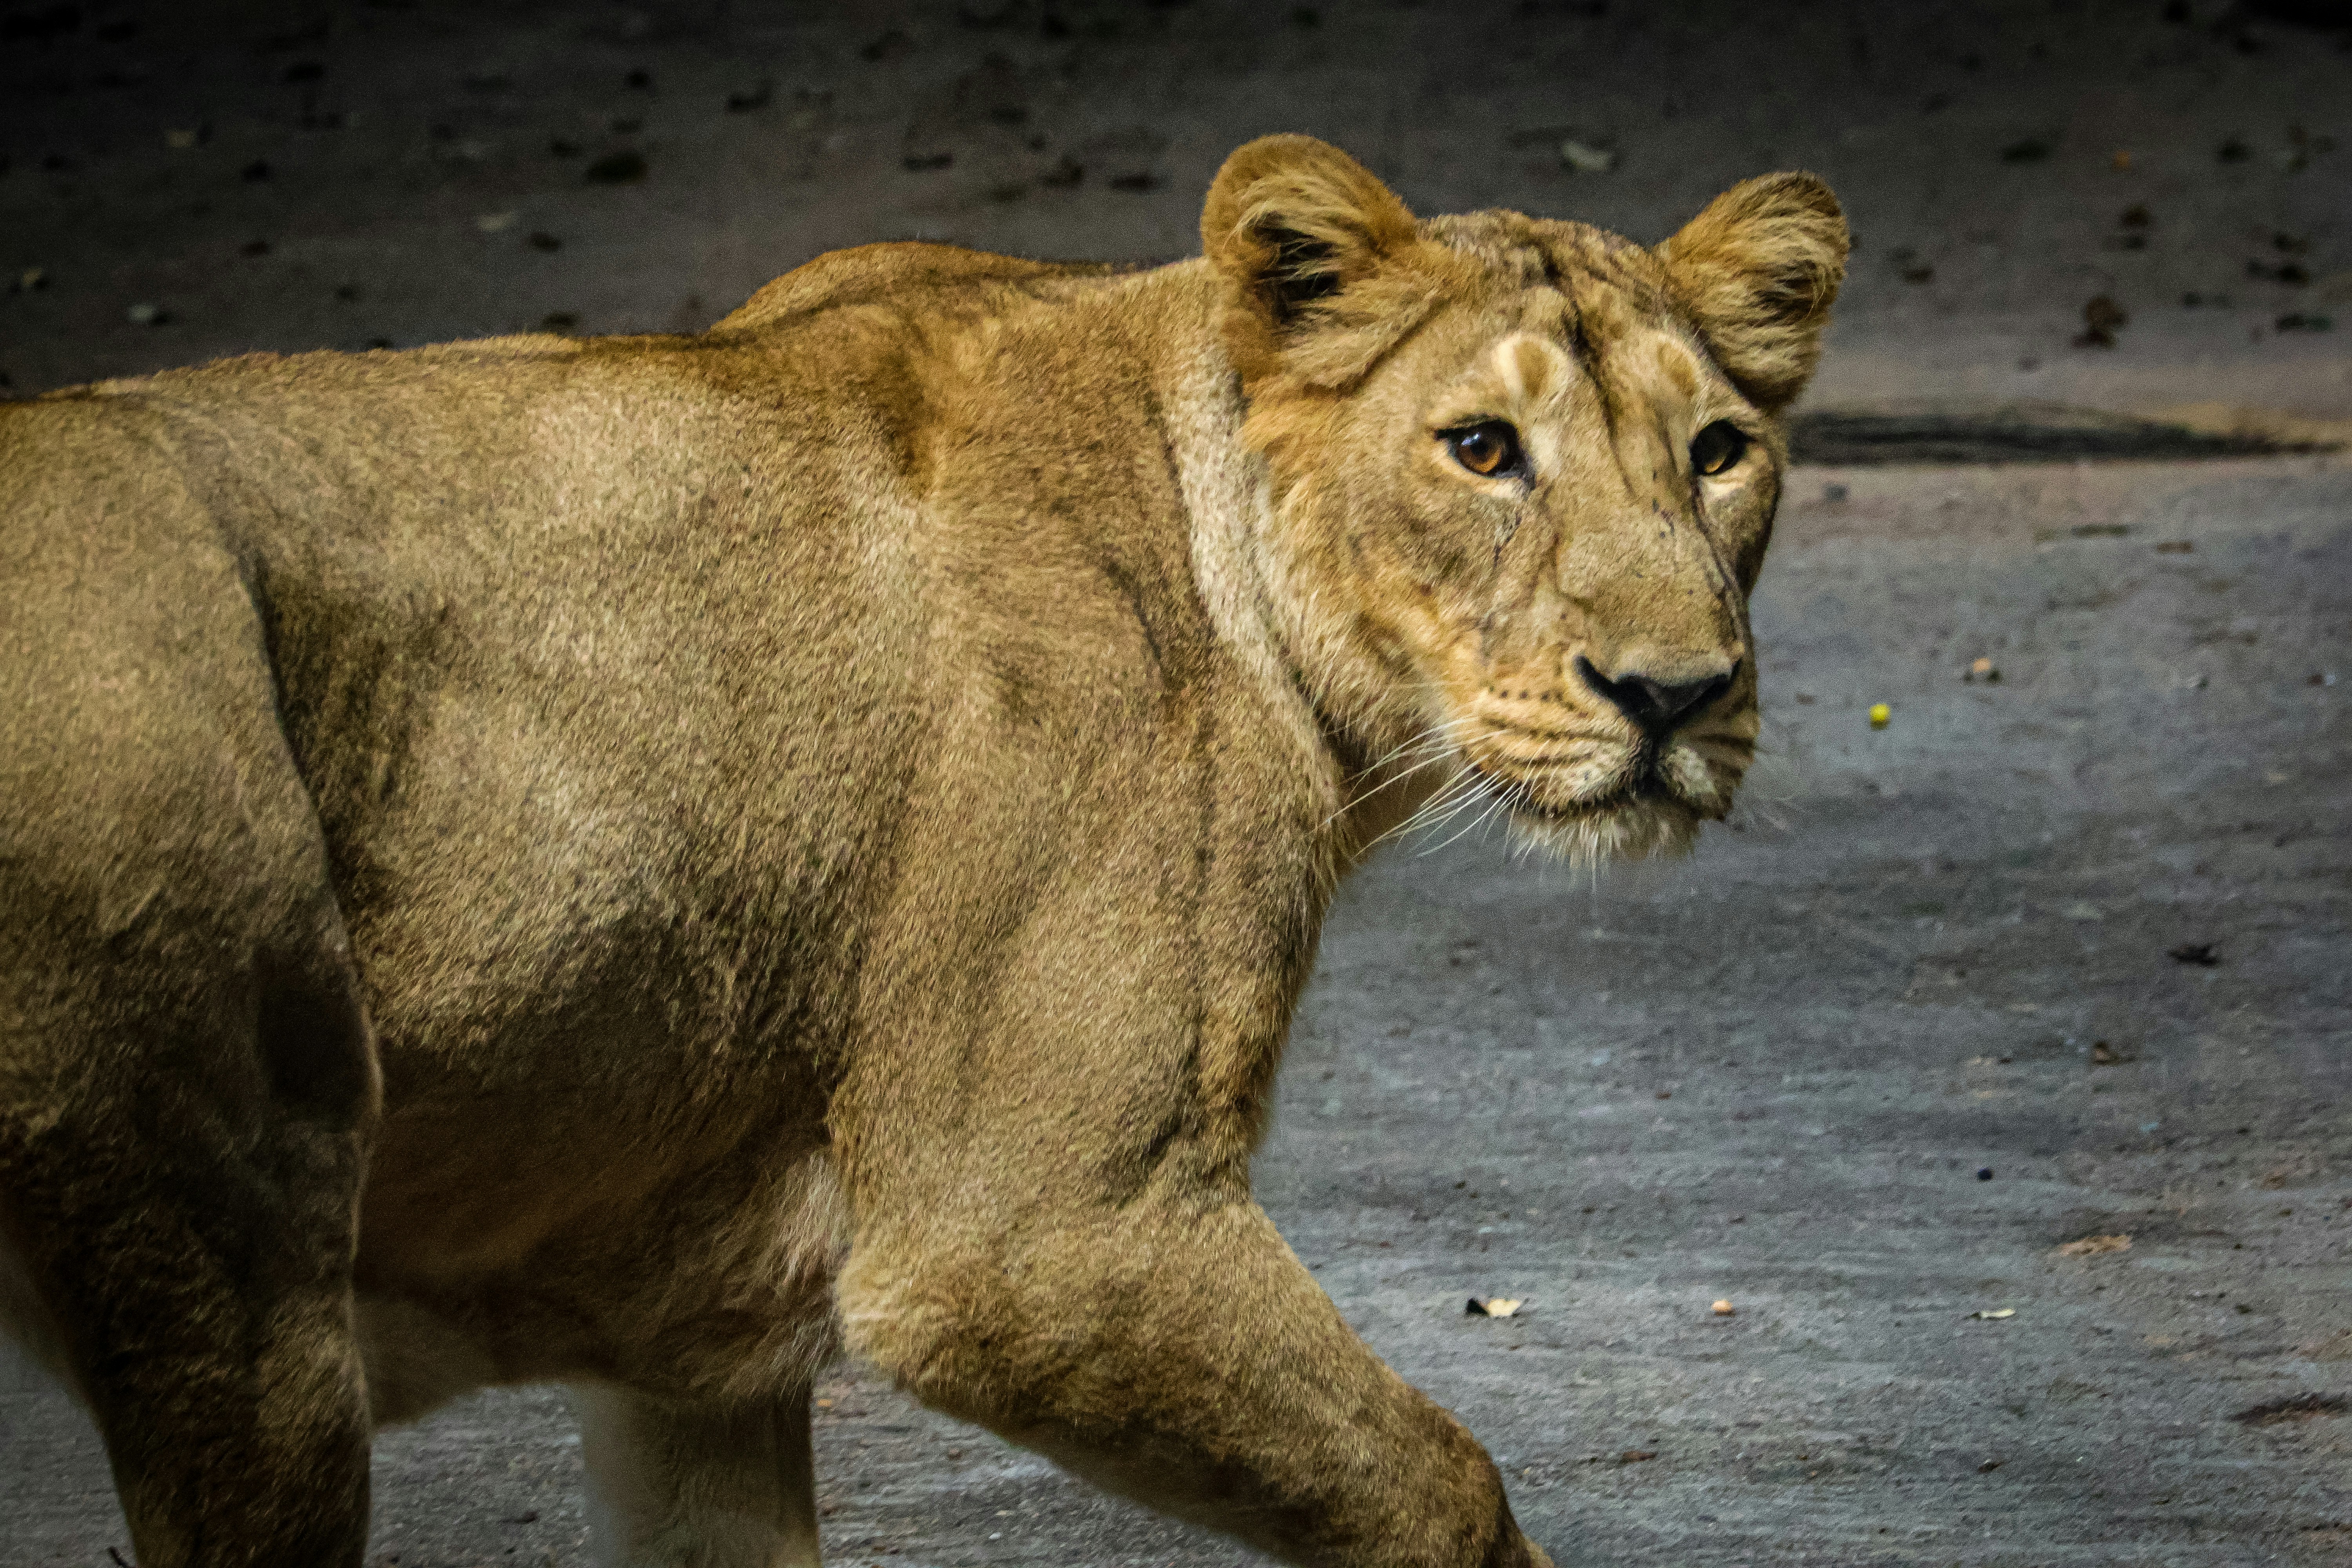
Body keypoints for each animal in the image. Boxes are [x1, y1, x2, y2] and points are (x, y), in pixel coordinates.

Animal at [0, 135, 1844, 1566]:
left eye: (1716, 452)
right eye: (1478, 450)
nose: (1674, 694)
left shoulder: (691, 1337)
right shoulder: (1036, 1234)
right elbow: (1437, 1481)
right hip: (234, 1269)